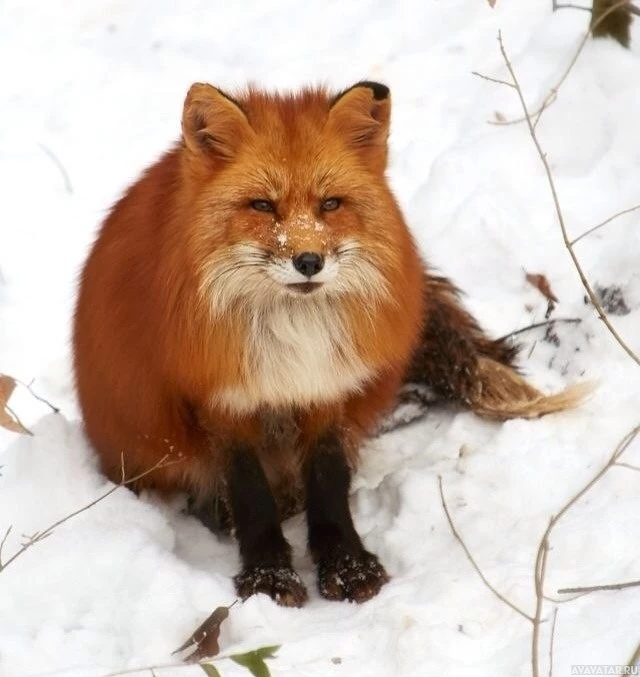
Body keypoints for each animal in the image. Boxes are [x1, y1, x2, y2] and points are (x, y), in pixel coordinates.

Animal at [72, 79, 588, 608]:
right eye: (263, 206)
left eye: (330, 204)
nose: (307, 261)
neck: (292, 335)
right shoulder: (224, 400)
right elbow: (250, 494)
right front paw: (268, 577)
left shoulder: (326, 388)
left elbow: (329, 480)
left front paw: (346, 563)